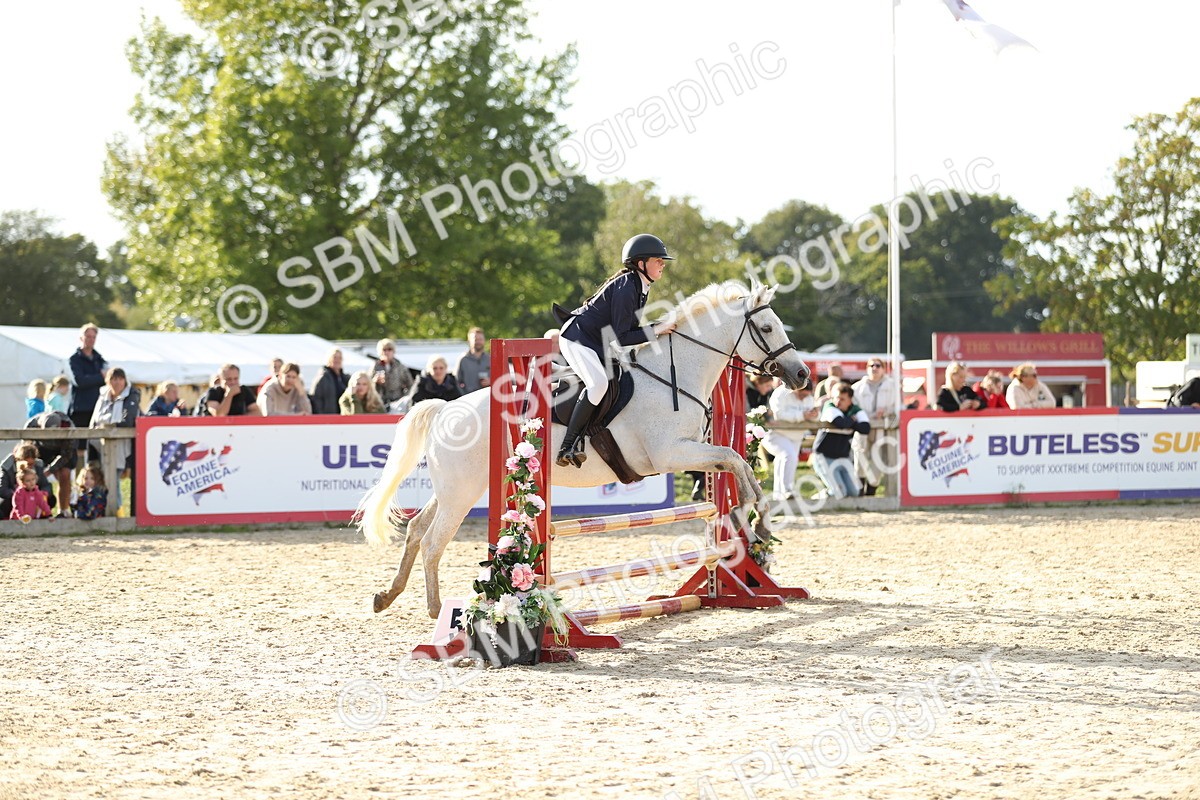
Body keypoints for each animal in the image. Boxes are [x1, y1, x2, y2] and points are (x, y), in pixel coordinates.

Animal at [356, 280, 811, 618]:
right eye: (767, 329)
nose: (802, 374)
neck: (673, 374)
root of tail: (445, 407)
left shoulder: (694, 450)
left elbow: (734, 465)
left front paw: (755, 520)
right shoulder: (671, 454)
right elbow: (733, 459)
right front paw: (750, 511)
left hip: (458, 486)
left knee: (416, 529)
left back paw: (385, 597)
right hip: (461, 492)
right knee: (433, 541)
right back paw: (436, 612)